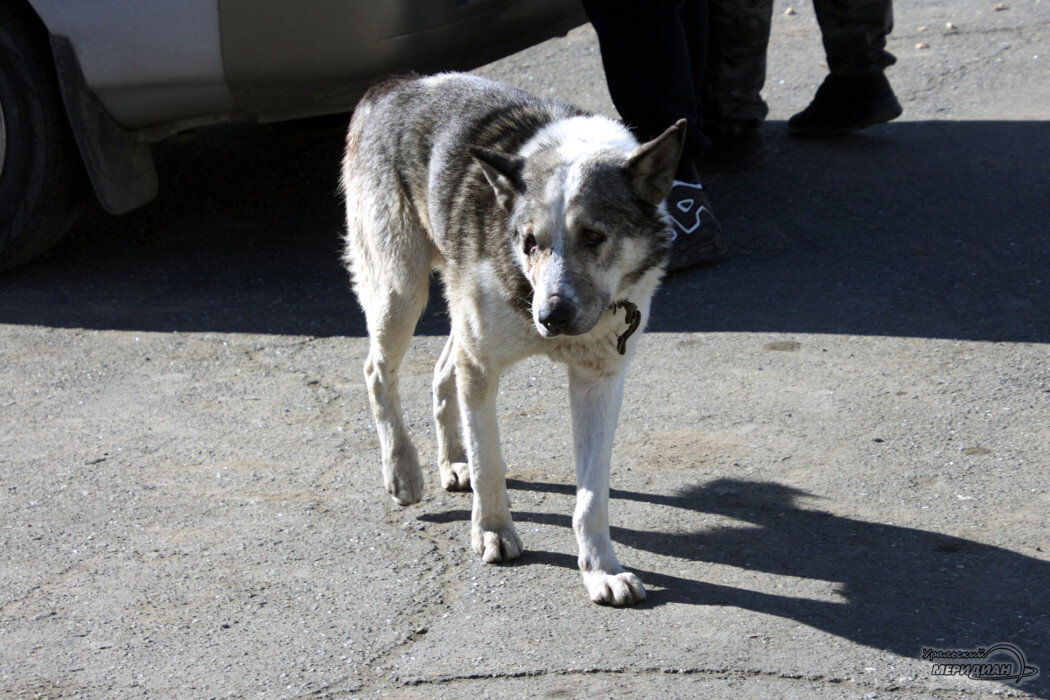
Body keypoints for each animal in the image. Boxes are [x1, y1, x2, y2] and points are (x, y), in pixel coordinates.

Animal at [340, 72, 684, 608]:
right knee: (378, 371)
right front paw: (493, 531)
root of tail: (391, 85)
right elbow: (490, 464)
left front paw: (601, 569)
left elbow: (592, 496)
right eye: (529, 242)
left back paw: (451, 461)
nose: (551, 316)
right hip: (401, 289)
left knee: (441, 371)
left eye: (593, 235)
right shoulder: (482, 366)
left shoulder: (599, 381)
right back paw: (403, 470)